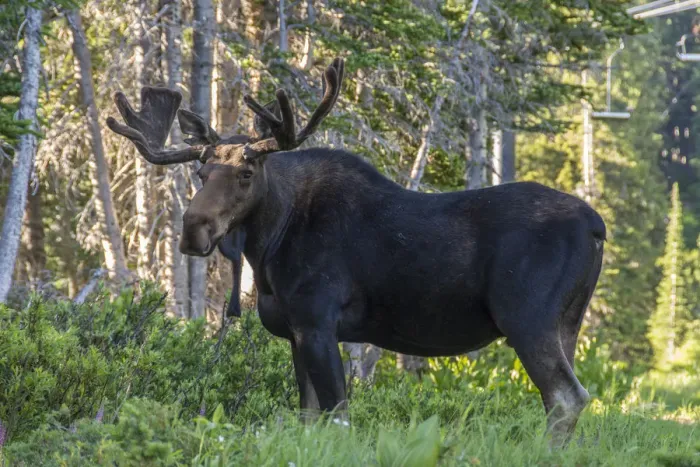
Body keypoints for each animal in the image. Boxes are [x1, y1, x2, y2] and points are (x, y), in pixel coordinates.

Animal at [106, 58, 605, 445]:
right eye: (200, 173)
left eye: (247, 173)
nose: (194, 230)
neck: (268, 247)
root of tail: (597, 227)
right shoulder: (295, 332)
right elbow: (307, 418)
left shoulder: (318, 323)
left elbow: (338, 417)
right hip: (567, 323)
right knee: (563, 398)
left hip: (526, 317)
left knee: (566, 397)